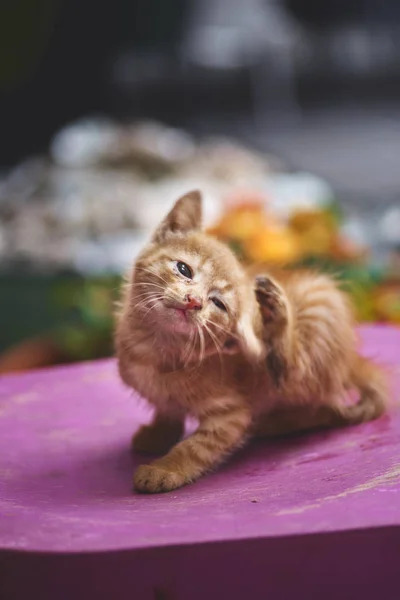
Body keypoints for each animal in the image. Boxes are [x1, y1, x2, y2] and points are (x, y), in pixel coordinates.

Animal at [115, 191, 388, 492]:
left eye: (218, 304)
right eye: (183, 269)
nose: (193, 301)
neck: (155, 347)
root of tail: (351, 359)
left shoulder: (231, 415)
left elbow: (196, 448)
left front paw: (165, 470)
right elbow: (167, 409)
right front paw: (159, 433)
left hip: (318, 312)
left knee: (302, 380)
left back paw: (277, 316)